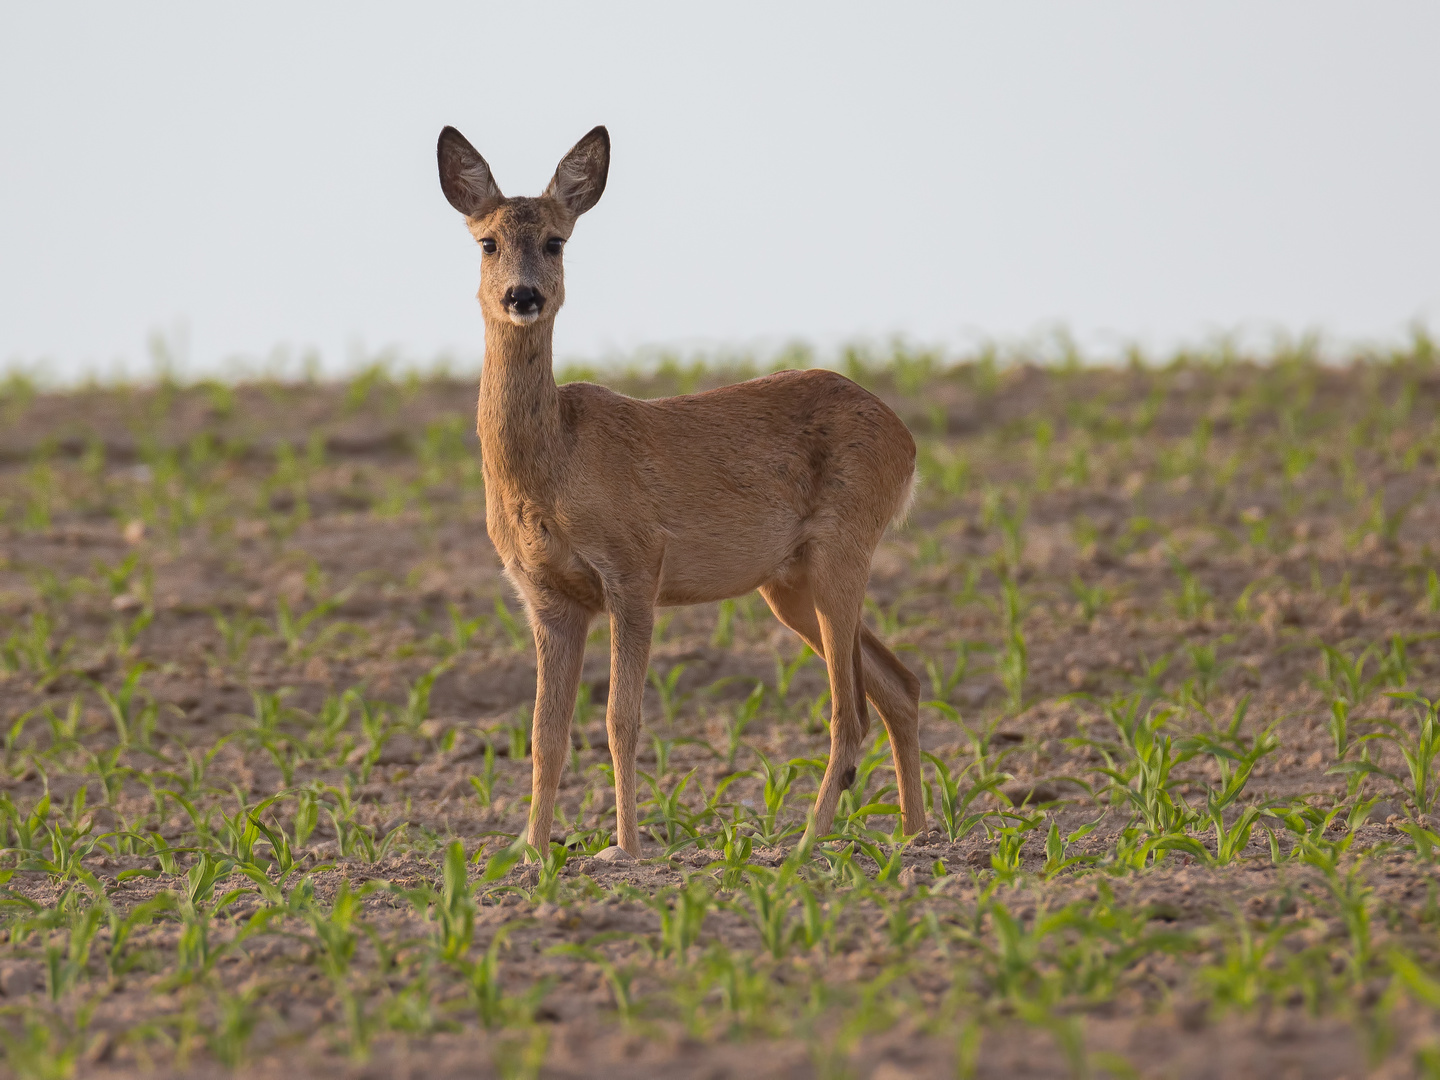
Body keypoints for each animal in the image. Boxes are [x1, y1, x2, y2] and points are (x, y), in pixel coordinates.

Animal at [432, 124, 921, 852]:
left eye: (556, 240)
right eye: (487, 241)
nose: (523, 296)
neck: (553, 465)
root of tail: (907, 441)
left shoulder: (636, 564)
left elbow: (619, 720)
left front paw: (626, 849)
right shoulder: (544, 595)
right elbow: (545, 734)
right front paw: (529, 853)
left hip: (845, 543)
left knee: (849, 708)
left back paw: (806, 845)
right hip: (788, 582)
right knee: (900, 684)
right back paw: (922, 838)